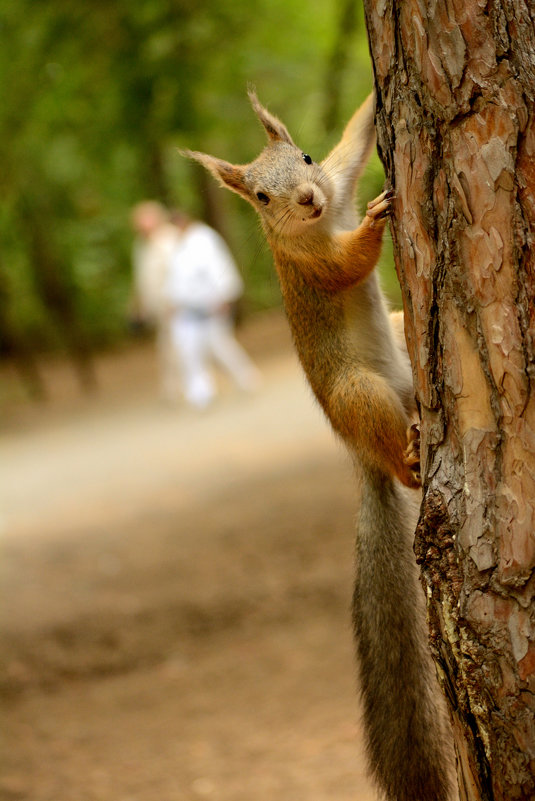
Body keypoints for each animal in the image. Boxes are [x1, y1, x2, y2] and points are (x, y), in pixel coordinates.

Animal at [184, 90, 456, 796]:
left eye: (304, 158)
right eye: (259, 196)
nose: (306, 198)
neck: (319, 224)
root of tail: (363, 454)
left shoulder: (338, 177)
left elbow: (353, 141)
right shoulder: (310, 266)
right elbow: (348, 263)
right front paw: (378, 218)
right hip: (358, 394)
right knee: (401, 464)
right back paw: (410, 458)